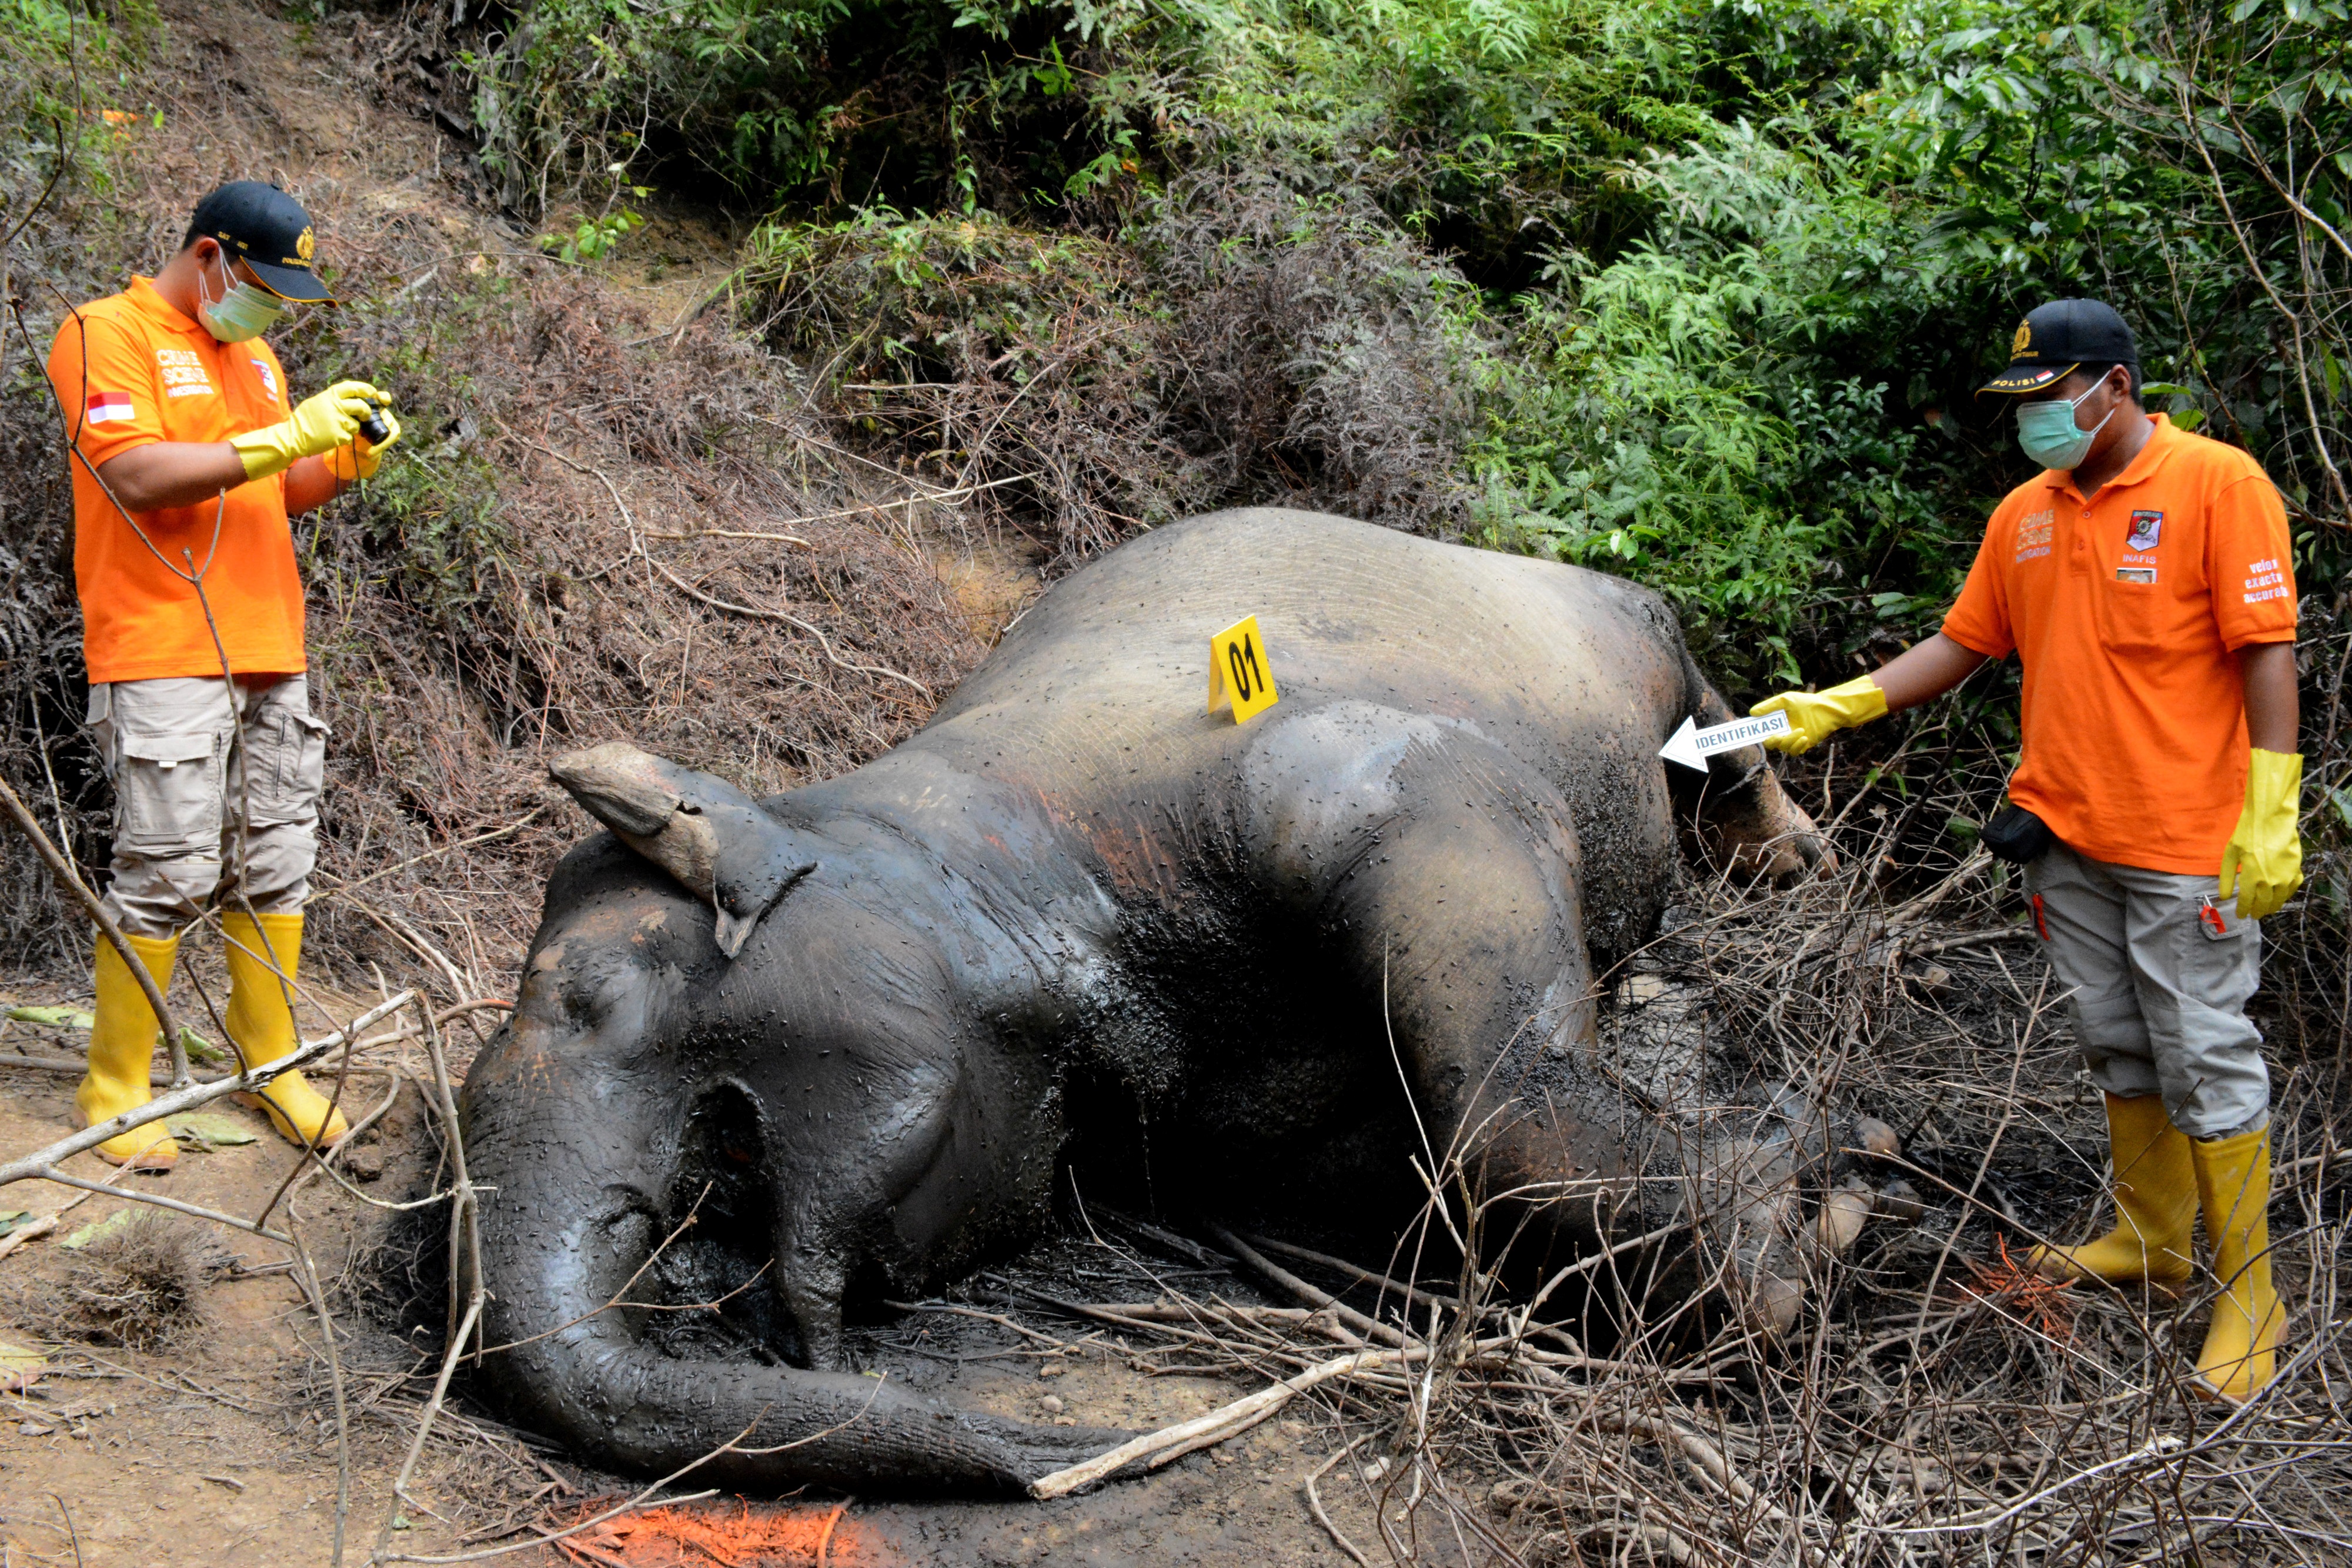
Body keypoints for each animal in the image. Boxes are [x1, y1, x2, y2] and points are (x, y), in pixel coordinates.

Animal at [463, 512, 1910, 1495]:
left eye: (586, 994)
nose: (1064, 1459)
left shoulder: (1374, 778)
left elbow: (1488, 1101)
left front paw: (1805, 1213)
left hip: (1622, 629)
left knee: (1699, 694)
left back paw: (1787, 854)